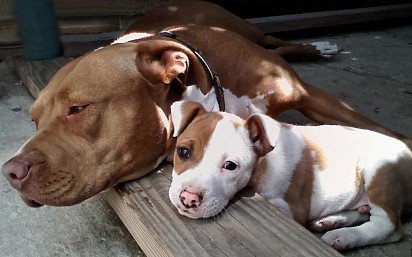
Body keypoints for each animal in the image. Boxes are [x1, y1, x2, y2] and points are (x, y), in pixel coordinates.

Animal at [1, 0, 408, 204]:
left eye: (78, 108)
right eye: (34, 120)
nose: (11, 172)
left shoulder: (312, 96)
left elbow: (392, 134)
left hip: (249, 29)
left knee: (275, 39)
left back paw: (319, 46)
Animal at [168, 100, 412, 250]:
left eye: (230, 166)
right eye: (183, 152)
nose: (188, 198)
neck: (262, 164)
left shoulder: (292, 209)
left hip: (380, 171)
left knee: (388, 226)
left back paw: (345, 236)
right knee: (363, 212)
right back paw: (330, 221)